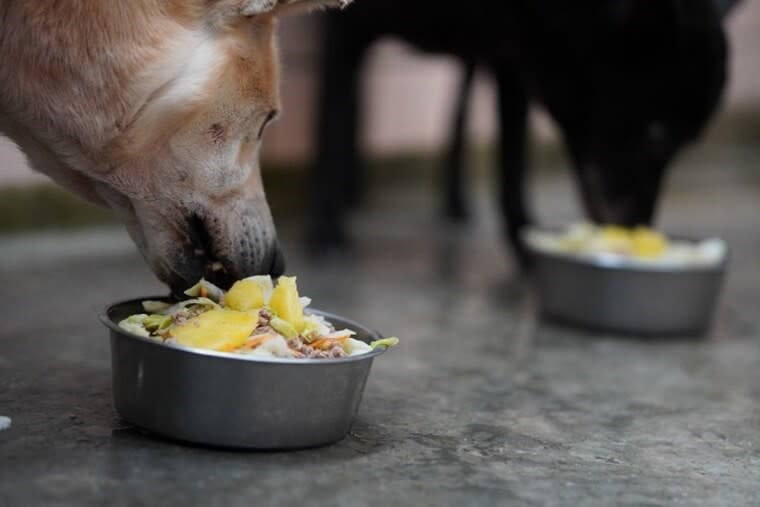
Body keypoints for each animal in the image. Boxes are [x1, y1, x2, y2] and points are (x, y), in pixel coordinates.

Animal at [308, 0, 736, 262]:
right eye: (656, 133)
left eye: (682, 143)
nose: (635, 228)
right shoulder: (346, 30)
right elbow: (332, 127)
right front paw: (327, 230)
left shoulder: (511, 57)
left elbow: (511, 168)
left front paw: (525, 247)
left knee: (458, 114)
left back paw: (454, 202)